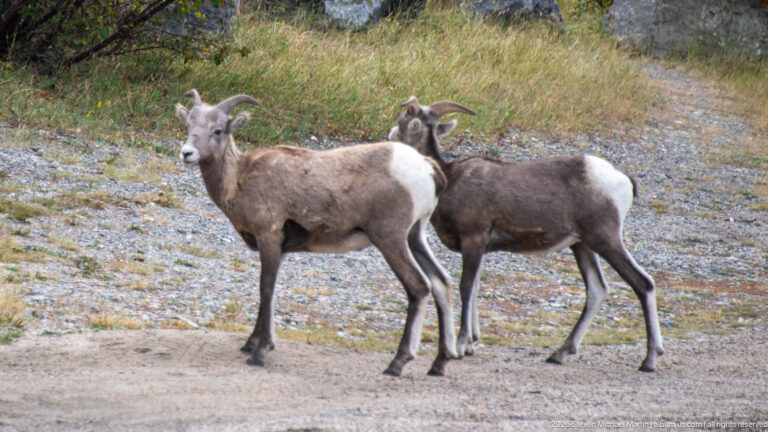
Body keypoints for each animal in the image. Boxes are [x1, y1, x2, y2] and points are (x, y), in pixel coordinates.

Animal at [174, 90, 458, 376]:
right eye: (189, 126)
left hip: (391, 239)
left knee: (419, 287)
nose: (187, 153)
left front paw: (260, 352)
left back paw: (397, 363)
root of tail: (428, 168)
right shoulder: (280, 249)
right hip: (415, 237)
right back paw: (440, 363)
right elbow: (270, 294)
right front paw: (251, 344)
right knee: (441, 282)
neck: (240, 178)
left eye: (218, 130)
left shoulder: (269, 238)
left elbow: (266, 289)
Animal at [388, 96, 664, 372]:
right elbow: (475, 288)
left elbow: (466, 288)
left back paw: (650, 360)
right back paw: (559, 354)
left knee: (643, 284)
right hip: (582, 246)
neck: (451, 179)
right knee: (597, 290)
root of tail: (623, 180)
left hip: (606, 240)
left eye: (402, 122)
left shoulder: (473, 241)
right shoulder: (479, 248)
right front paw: (471, 346)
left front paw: (461, 344)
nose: (389, 136)